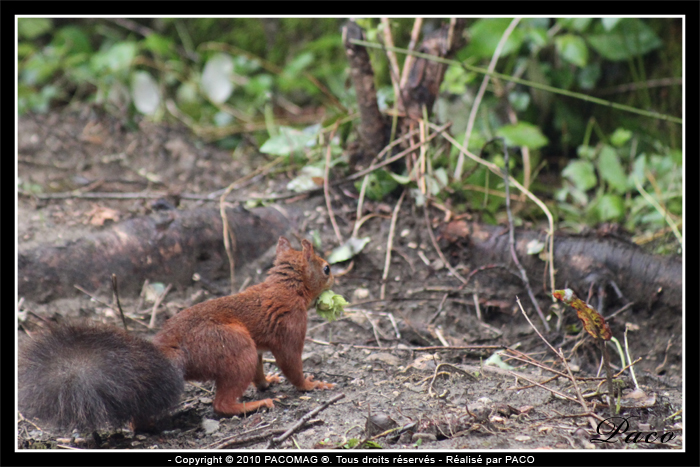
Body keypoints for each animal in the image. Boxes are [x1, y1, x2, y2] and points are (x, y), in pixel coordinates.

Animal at [19, 238, 336, 432]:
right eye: (326, 268)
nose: (336, 276)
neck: (286, 286)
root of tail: (172, 350)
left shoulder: (259, 347)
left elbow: (260, 370)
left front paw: (267, 381)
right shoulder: (291, 326)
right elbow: (291, 363)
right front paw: (312, 384)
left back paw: (143, 426)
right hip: (236, 347)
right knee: (221, 405)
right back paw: (252, 405)